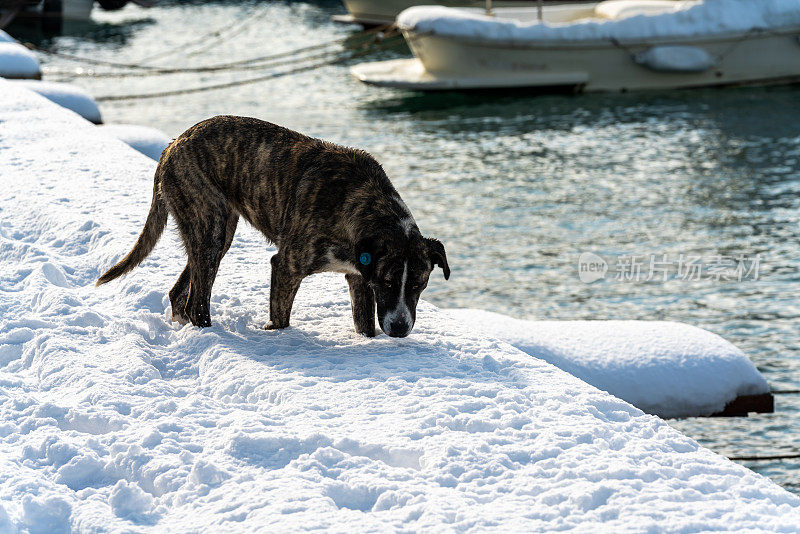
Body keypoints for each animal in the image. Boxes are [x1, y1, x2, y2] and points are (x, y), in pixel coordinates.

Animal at [96, 116, 446, 340]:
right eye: (388, 283)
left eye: (419, 285)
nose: (399, 329)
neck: (365, 206)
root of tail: (171, 147)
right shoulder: (287, 267)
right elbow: (281, 317)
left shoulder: (358, 278)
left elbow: (364, 324)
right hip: (210, 227)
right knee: (197, 301)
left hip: (214, 236)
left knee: (180, 292)